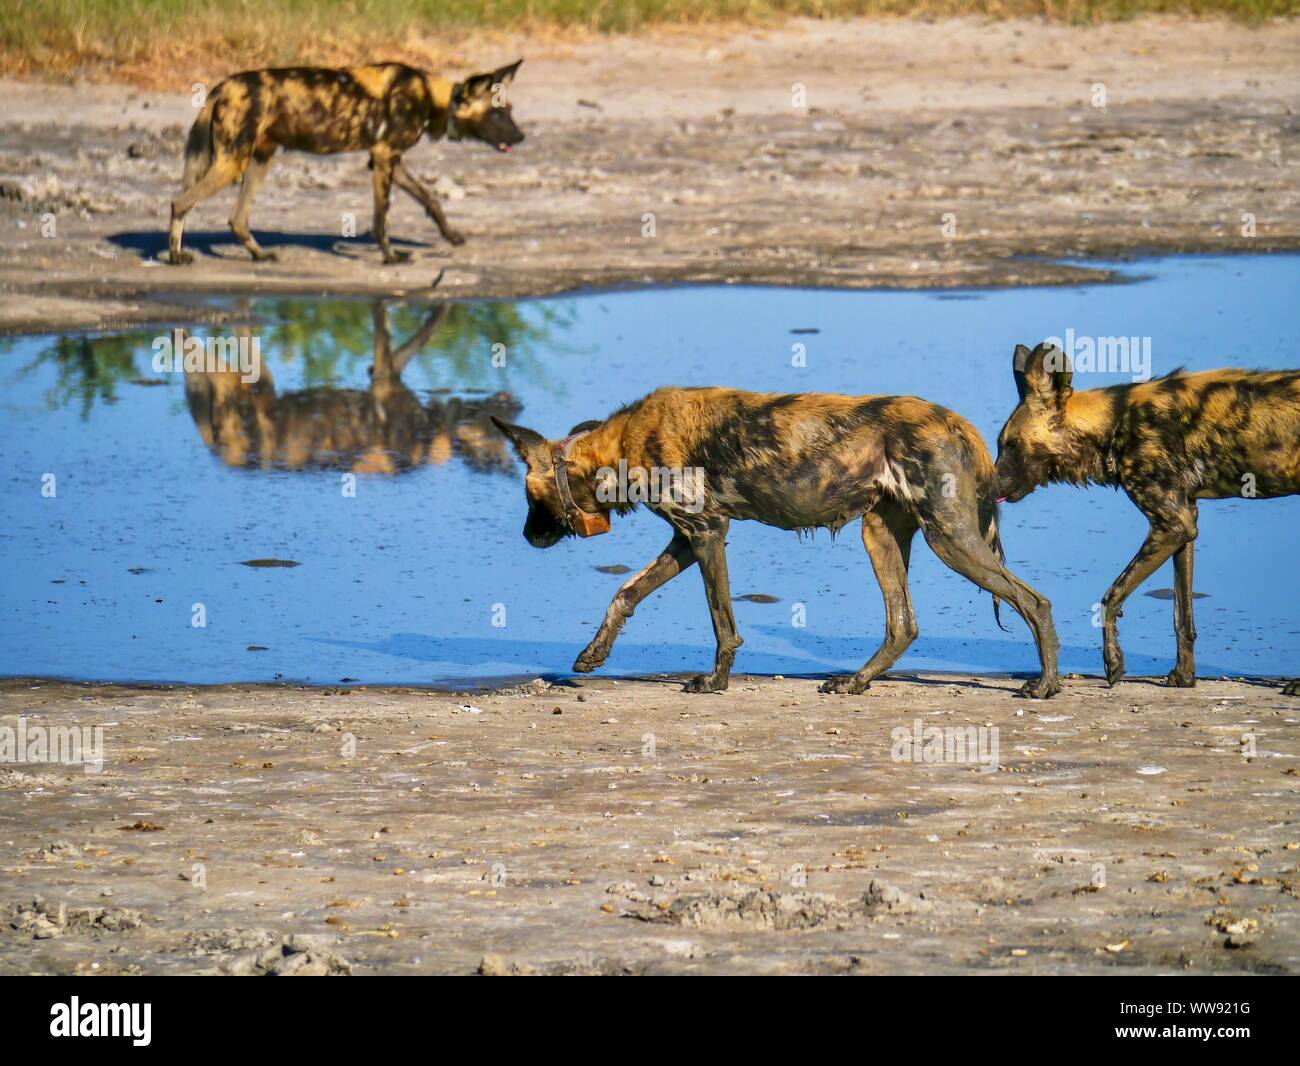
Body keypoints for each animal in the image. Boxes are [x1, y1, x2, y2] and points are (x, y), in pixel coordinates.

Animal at [167, 58, 522, 266]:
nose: (520, 137)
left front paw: (451, 236)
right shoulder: (384, 158)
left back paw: (259, 254)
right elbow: (381, 219)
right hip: (232, 164)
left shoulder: (390, 160)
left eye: (509, 110)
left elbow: (430, 199)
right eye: (496, 113)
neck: (432, 97)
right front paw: (390, 256)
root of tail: (223, 85)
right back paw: (175, 256)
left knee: (237, 218)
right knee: (179, 202)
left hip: (258, 162)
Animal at [491, 387, 1060, 696]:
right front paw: (593, 654)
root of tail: (959, 423)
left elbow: (722, 623)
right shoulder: (687, 539)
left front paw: (714, 683)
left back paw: (1045, 685)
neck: (621, 446)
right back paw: (855, 681)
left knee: (1034, 601)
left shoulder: (707, 534)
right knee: (903, 624)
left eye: (528, 497)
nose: (526, 536)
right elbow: (624, 593)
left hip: (951, 540)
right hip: (879, 536)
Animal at [993, 340, 1300, 691]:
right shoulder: (1185, 522)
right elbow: (1182, 617)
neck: (1115, 423)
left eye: (1011, 444)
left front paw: (1113, 664)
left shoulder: (1171, 526)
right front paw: (1184, 676)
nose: (989, 484)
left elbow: (1110, 597)